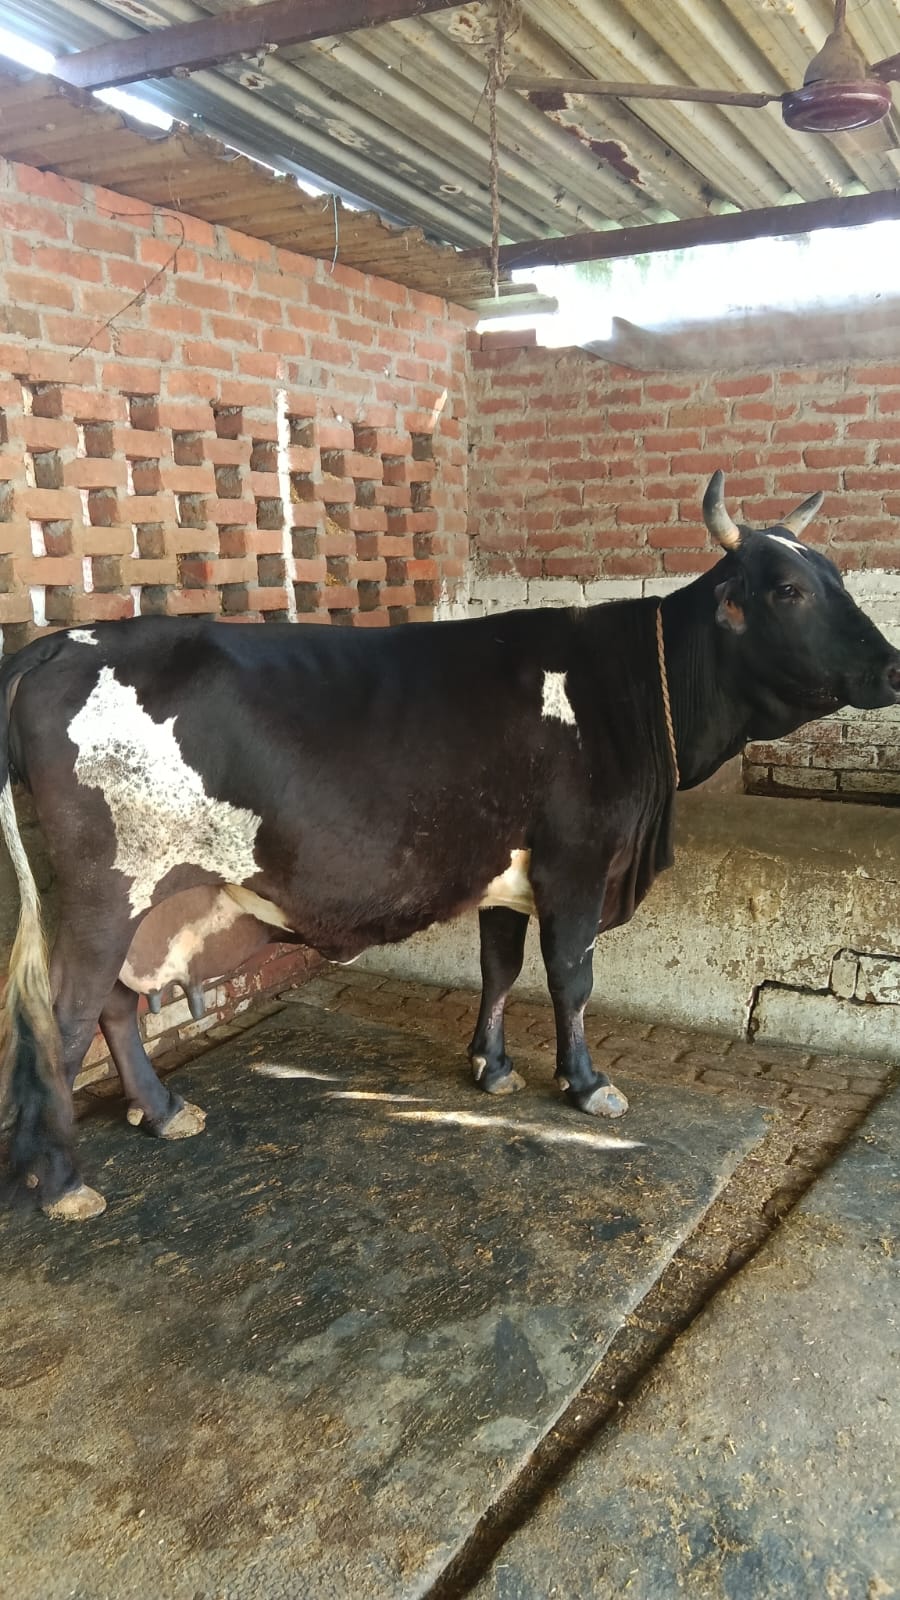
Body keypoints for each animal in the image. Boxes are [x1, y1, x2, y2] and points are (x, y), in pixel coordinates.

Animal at [1, 472, 899, 1221]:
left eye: (838, 577)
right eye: (789, 589)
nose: (893, 665)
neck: (634, 690)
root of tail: (62, 643)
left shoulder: (509, 869)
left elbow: (500, 967)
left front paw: (491, 1068)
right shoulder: (577, 862)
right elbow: (571, 979)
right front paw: (587, 1084)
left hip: (134, 900)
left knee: (115, 1005)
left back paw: (163, 1113)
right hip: (105, 891)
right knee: (67, 1018)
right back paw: (67, 1183)